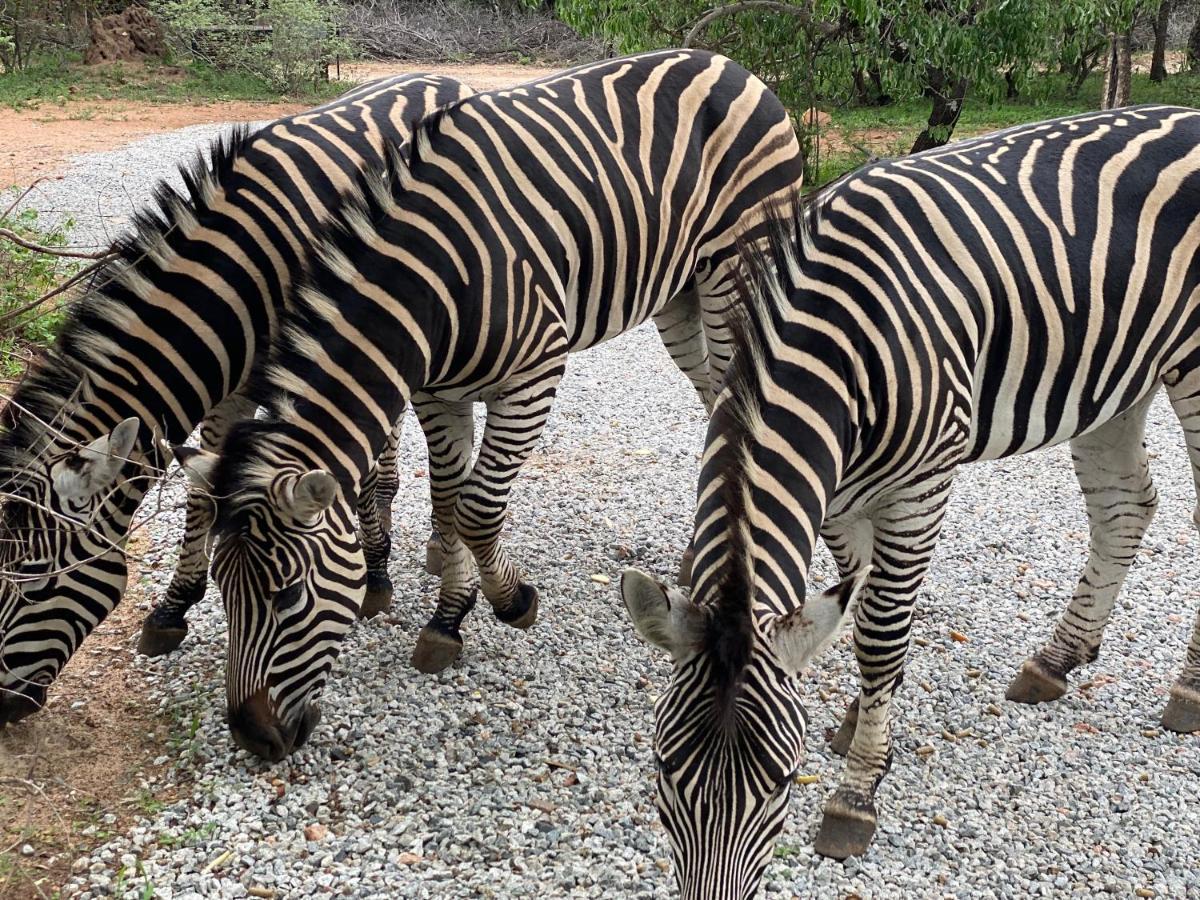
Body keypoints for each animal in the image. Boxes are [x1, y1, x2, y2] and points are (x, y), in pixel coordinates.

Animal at [0, 74, 472, 729]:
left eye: (37, 582)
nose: (0, 709)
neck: (235, 283)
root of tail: (440, 77)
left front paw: (372, 573)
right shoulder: (233, 392)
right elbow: (205, 491)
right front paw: (173, 606)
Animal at [169, 49, 806, 763]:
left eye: (288, 595)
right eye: (222, 591)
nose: (252, 738)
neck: (427, 285)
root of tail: (727, 63)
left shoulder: (535, 372)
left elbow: (478, 507)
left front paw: (510, 601)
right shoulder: (435, 393)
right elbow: (449, 498)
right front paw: (449, 615)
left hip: (735, 268)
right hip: (680, 292)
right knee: (716, 396)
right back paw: (702, 554)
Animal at [619, 103, 1200, 897]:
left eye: (781, 782)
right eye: (663, 771)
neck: (833, 345)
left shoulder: (921, 487)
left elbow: (880, 634)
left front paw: (856, 793)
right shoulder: (839, 497)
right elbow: (856, 606)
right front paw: (859, 721)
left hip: (1192, 364)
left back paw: (1188, 693)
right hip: (1116, 376)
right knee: (1124, 507)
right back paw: (1056, 659)